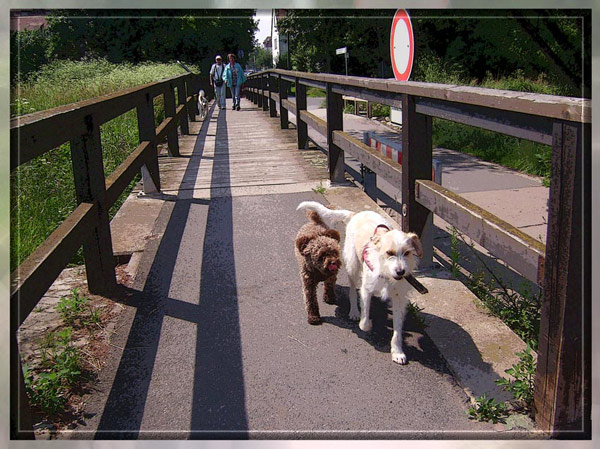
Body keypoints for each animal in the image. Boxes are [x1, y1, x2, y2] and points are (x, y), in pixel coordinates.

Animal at [296, 201, 422, 362]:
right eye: (389, 253)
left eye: (407, 253)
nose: (401, 272)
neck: (386, 273)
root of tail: (356, 214)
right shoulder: (366, 289)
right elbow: (365, 319)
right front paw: (365, 322)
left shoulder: (399, 298)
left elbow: (398, 329)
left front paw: (397, 351)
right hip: (352, 266)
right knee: (352, 291)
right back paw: (354, 311)